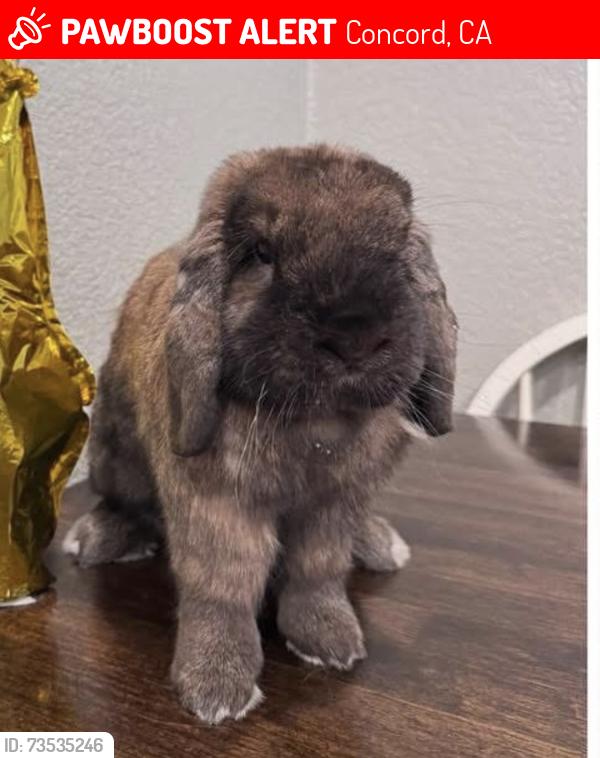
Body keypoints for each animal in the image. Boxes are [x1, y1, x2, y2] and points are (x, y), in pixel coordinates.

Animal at [63, 144, 457, 724]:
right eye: (262, 253)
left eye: (396, 249)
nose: (355, 335)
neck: (313, 424)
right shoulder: (218, 505)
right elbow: (223, 584)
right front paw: (216, 687)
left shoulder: (334, 502)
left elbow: (319, 571)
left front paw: (330, 641)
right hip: (116, 453)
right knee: (121, 502)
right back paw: (99, 539)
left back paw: (378, 543)